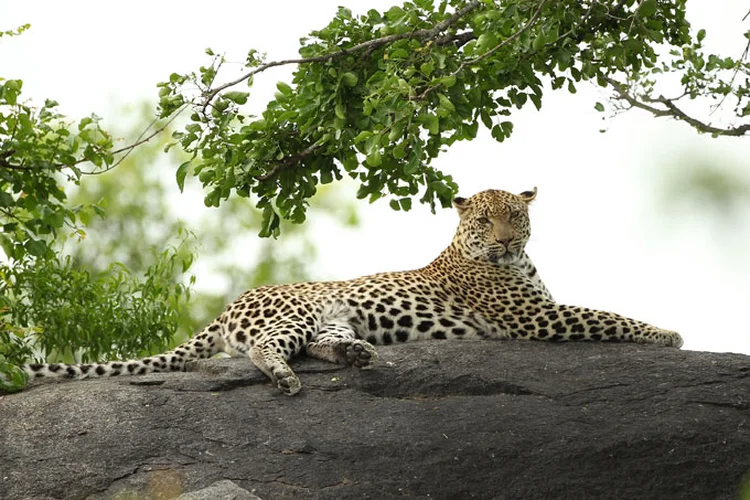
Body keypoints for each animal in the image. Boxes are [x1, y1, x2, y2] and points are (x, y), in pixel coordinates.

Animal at [20, 188, 684, 394]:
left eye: (515, 219)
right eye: (483, 221)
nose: (501, 242)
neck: (517, 263)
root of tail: (232, 303)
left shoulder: (541, 310)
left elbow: (601, 310)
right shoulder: (536, 319)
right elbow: (605, 314)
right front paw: (667, 333)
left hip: (334, 317)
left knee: (321, 345)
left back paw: (358, 354)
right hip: (291, 315)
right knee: (264, 350)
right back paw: (285, 378)